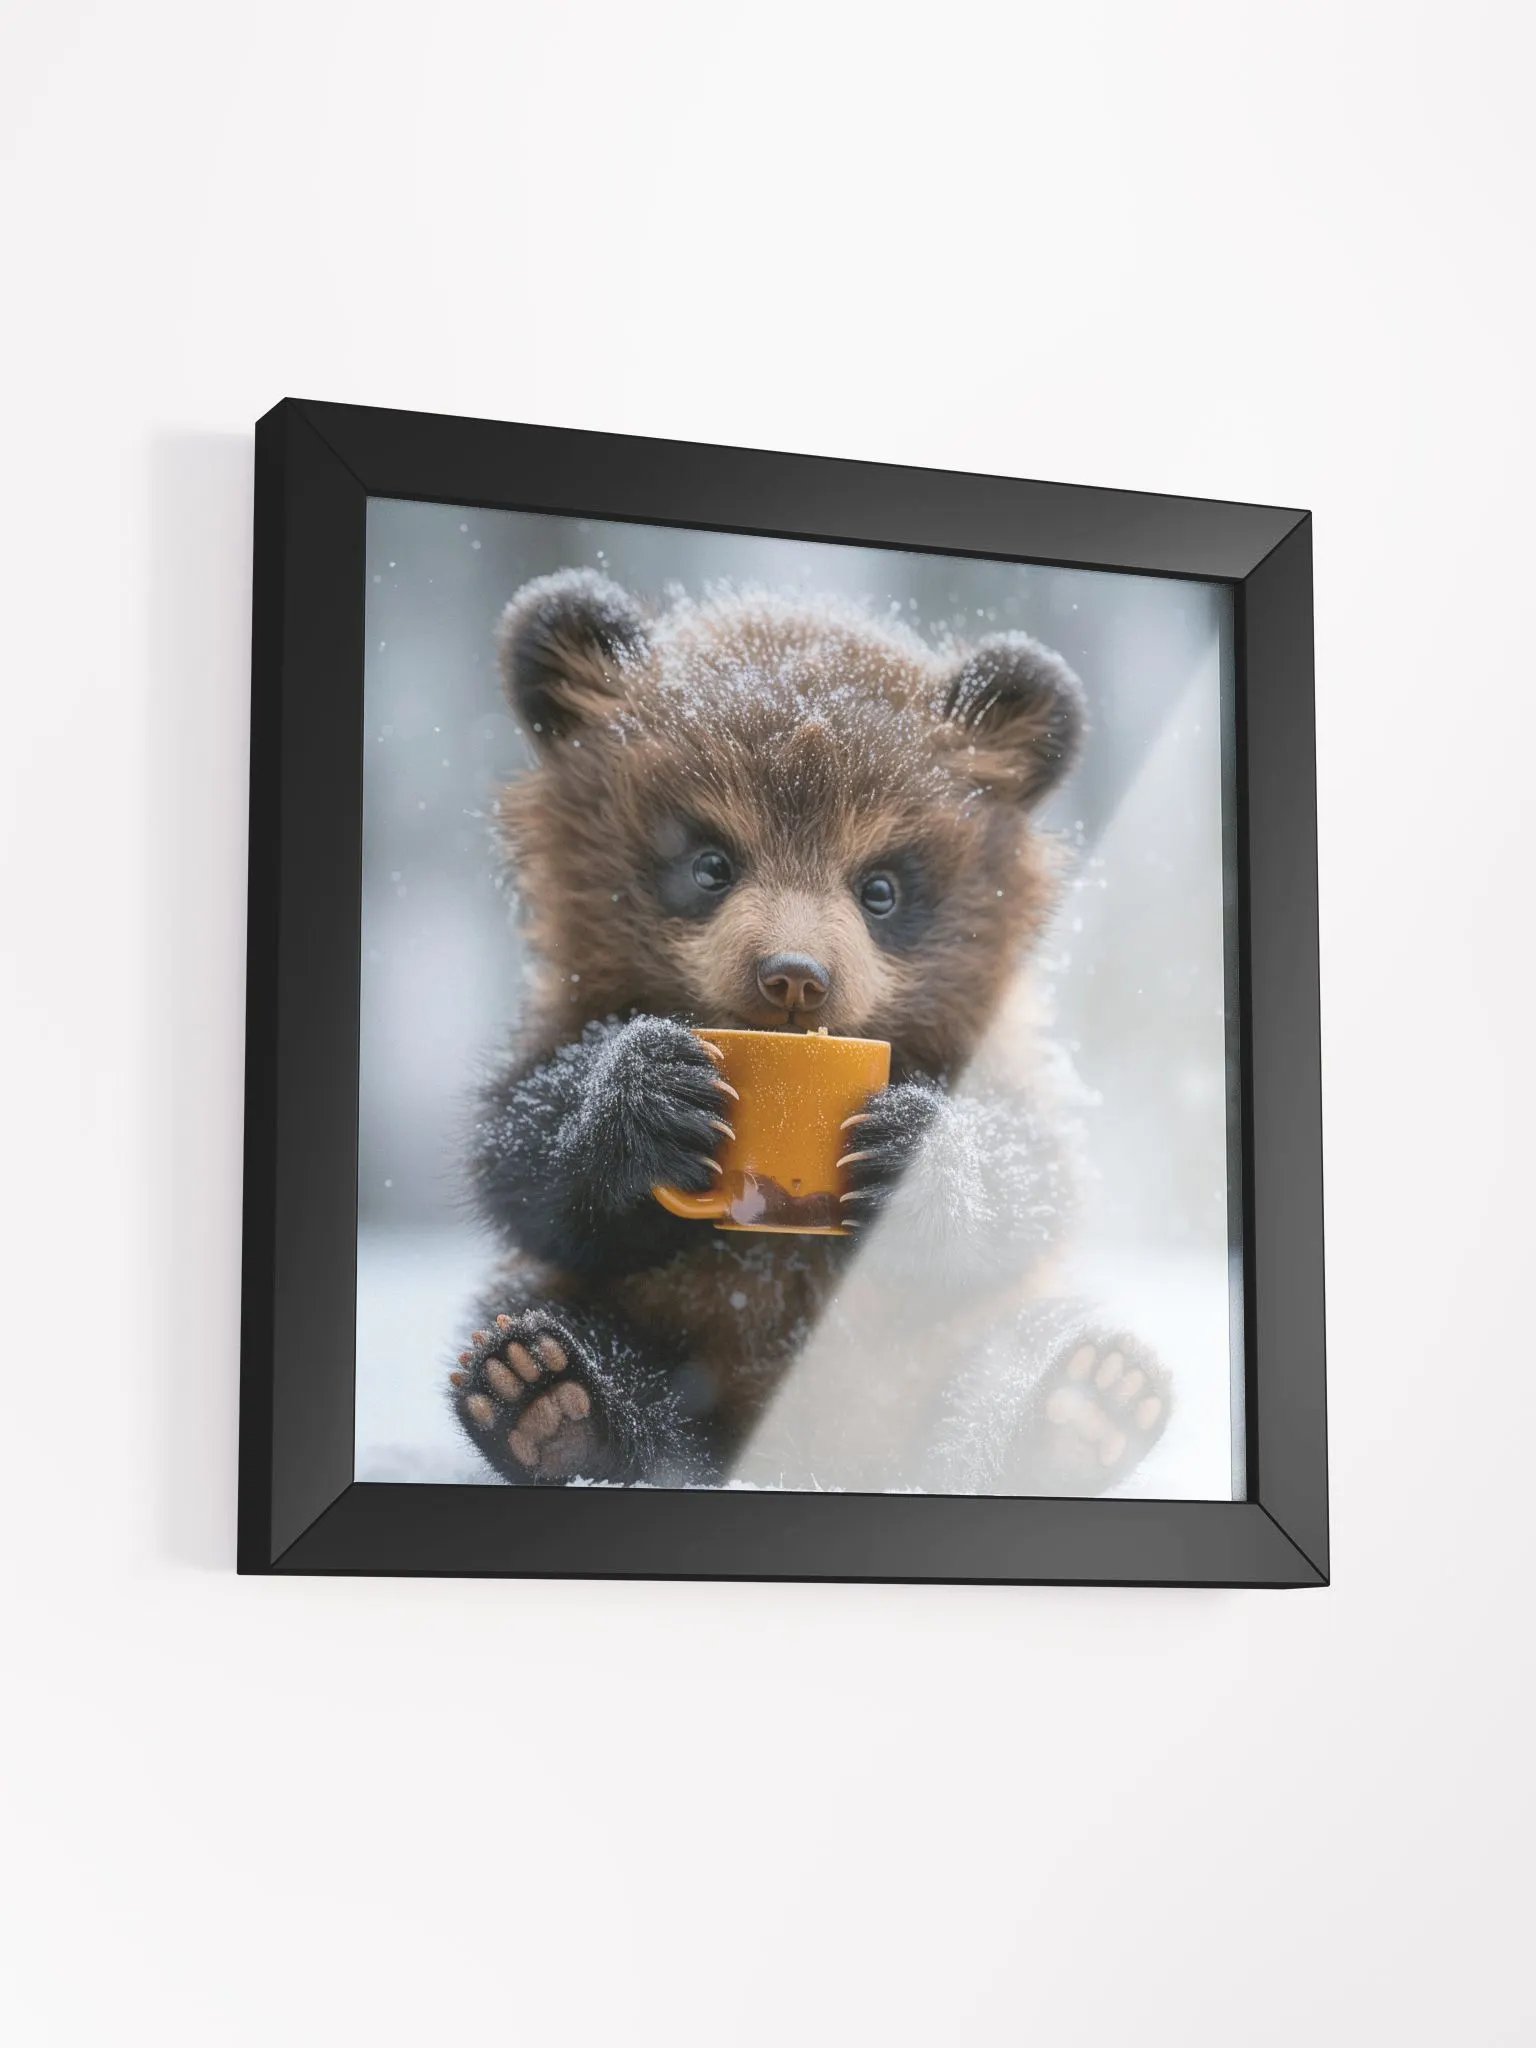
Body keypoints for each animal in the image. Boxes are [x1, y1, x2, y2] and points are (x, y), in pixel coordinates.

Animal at [446, 570, 1171, 1494]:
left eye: (881, 888)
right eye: (710, 863)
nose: (794, 974)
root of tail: (814, 1453)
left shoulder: (993, 1054)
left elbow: (1031, 1178)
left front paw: (910, 1147)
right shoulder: (567, 1016)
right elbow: (524, 1152)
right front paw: (646, 1097)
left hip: (944, 1353)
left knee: (1011, 1351)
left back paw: (1080, 1411)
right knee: (553, 1317)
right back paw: (552, 1402)